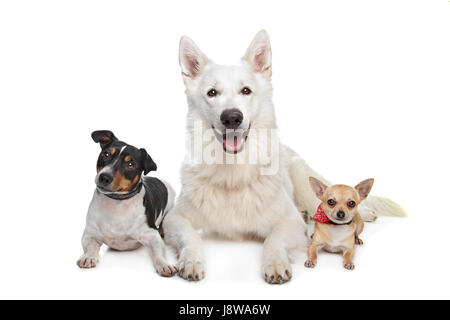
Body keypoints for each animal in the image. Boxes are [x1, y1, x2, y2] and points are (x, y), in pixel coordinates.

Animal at [76, 130, 177, 278]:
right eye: (106, 154)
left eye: (130, 165)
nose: (104, 177)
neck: (117, 202)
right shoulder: (90, 234)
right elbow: (90, 247)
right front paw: (88, 256)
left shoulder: (152, 235)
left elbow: (159, 252)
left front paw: (164, 264)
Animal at [163, 30, 408, 284]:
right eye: (212, 93)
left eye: (246, 91)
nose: (232, 117)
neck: (234, 173)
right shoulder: (175, 219)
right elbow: (190, 236)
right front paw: (191, 260)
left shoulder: (291, 223)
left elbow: (274, 239)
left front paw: (275, 263)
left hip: (306, 183)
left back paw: (364, 212)